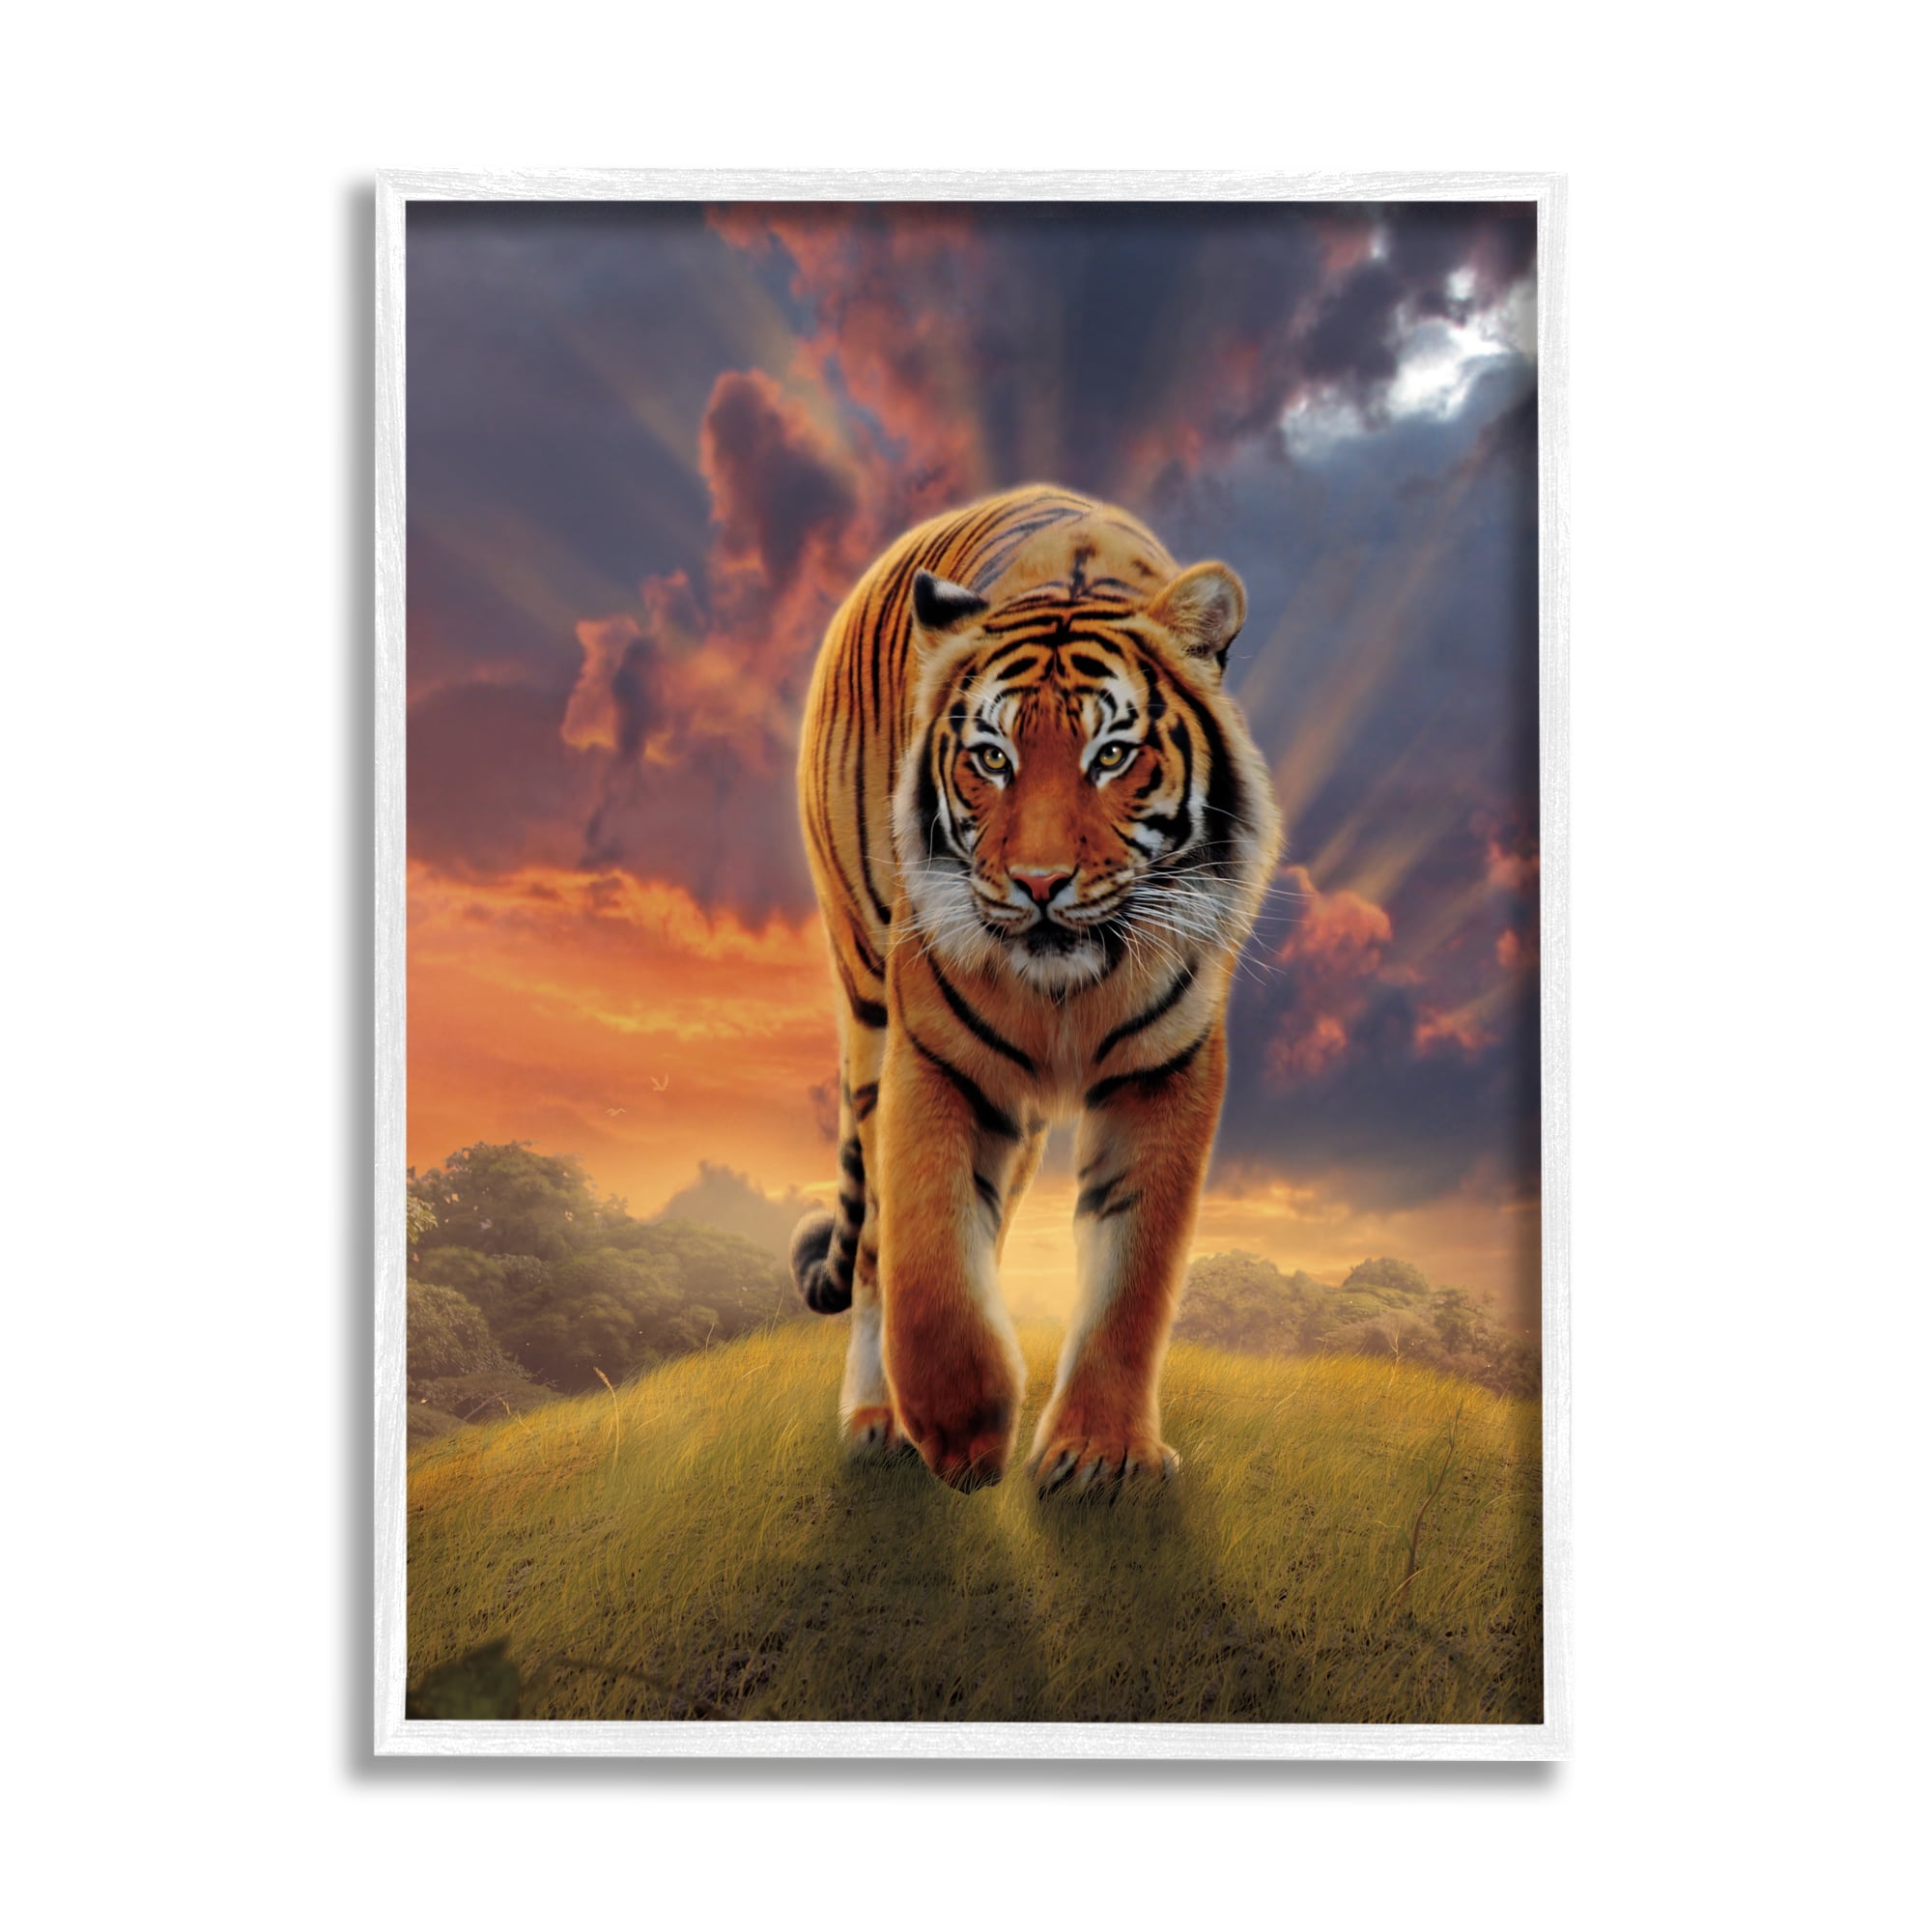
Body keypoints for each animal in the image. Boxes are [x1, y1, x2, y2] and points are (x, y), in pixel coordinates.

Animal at [789, 484, 1282, 1495]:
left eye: (1111, 755)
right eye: (992, 759)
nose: (1041, 883)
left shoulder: (1167, 1069)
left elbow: (1135, 1273)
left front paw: (1099, 1456)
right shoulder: (935, 1053)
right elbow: (928, 1249)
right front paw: (958, 1425)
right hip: (866, 996)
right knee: (874, 1244)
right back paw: (876, 1417)